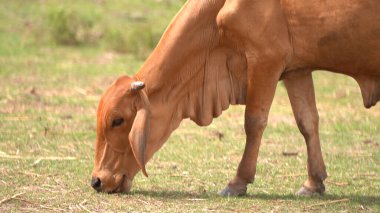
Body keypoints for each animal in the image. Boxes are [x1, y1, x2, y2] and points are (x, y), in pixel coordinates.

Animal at [91, 0, 380, 196]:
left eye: (117, 120)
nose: (96, 180)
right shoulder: (296, 70)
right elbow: (307, 122)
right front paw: (313, 183)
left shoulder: (266, 60)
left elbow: (254, 122)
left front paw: (238, 182)